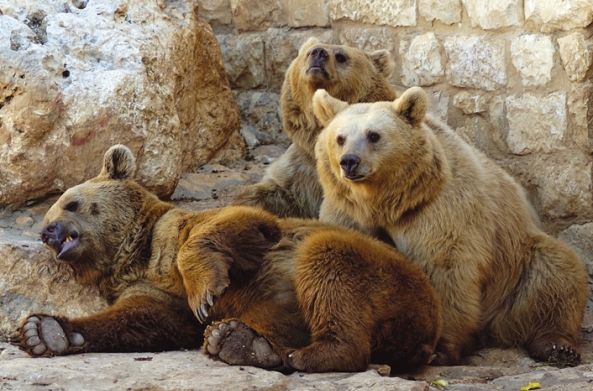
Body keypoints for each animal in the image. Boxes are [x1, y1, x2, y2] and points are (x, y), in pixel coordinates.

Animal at [13, 145, 442, 376]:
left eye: (71, 202)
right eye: (48, 216)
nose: (48, 232)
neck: (136, 252)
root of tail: (426, 334)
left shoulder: (193, 228)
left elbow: (231, 226)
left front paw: (206, 292)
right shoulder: (149, 290)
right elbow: (143, 319)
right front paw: (45, 331)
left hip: (389, 276)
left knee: (327, 264)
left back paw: (307, 353)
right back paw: (241, 342)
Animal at [310, 88, 588, 368]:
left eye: (373, 135)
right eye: (340, 138)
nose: (349, 161)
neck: (388, 203)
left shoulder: (439, 210)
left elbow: (445, 270)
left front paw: (439, 350)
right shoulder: (347, 212)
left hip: (515, 264)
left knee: (554, 273)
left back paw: (557, 346)